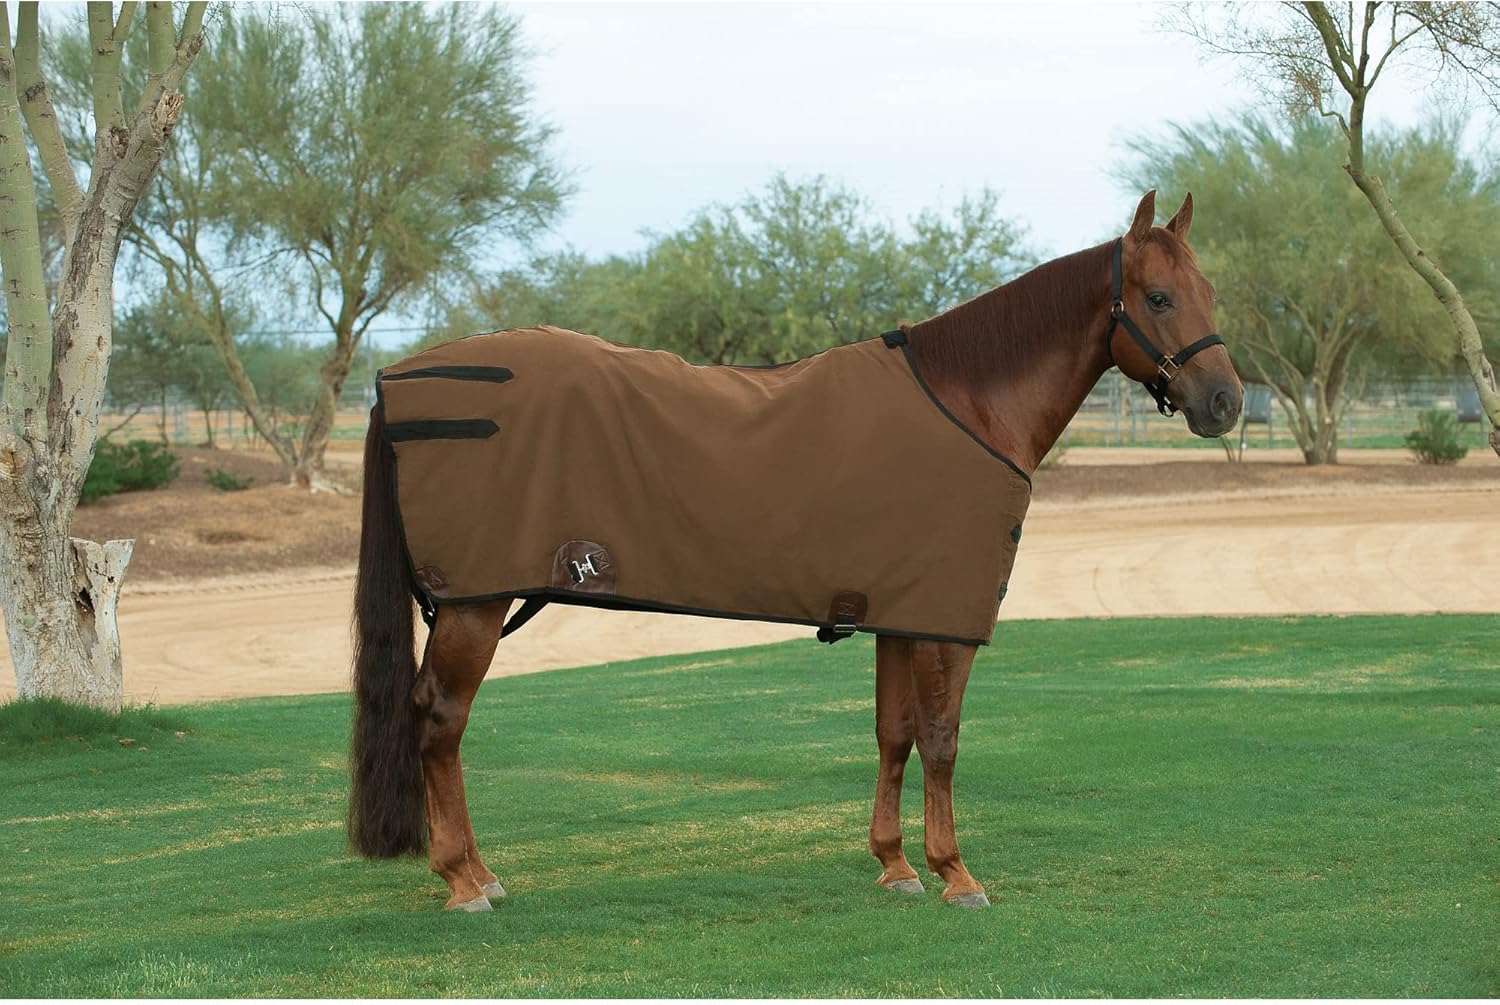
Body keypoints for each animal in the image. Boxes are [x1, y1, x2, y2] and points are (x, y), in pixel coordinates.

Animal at [347, 190, 1243, 911]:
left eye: (1209, 292)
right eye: (1158, 296)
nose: (1226, 403)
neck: (967, 404)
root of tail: (398, 377)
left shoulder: (897, 612)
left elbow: (893, 732)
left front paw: (895, 866)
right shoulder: (944, 620)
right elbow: (942, 738)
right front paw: (956, 873)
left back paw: (477, 872)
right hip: (475, 604)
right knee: (441, 719)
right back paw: (465, 878)